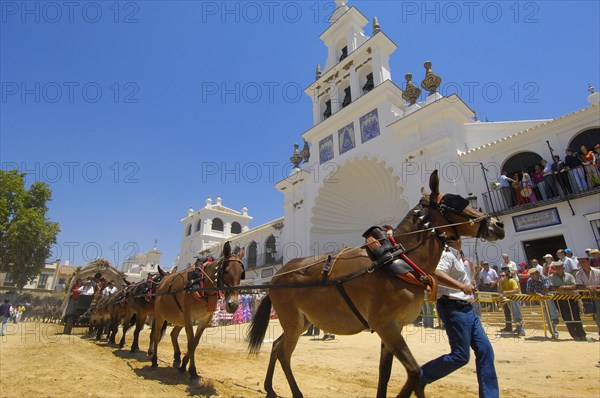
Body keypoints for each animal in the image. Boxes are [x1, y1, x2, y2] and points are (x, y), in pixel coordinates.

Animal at [151, 241, 245, 380]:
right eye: (226, 271)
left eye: (241, 273)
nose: (232, 304)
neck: (201, 285)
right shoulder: (189, 317)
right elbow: (190, 343)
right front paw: (193, 370)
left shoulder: (205, 319)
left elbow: (195, 343)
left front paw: (184, 366)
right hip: (160, 316)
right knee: (156, 336)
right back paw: (154, 360)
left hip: (180, 319)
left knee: (173, 334)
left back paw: (177, 357)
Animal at [246, 170, 504, 398]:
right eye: (453, 202)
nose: (497, 224)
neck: (397, 258)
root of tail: (277, 277)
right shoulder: (385, 325)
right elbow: (414, 372)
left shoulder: (393, 328)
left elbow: (387, 373)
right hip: (292, 321)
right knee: (284, 354)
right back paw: (295, 392)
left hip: (302, 321)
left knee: (276, 346)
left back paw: (269, 388)